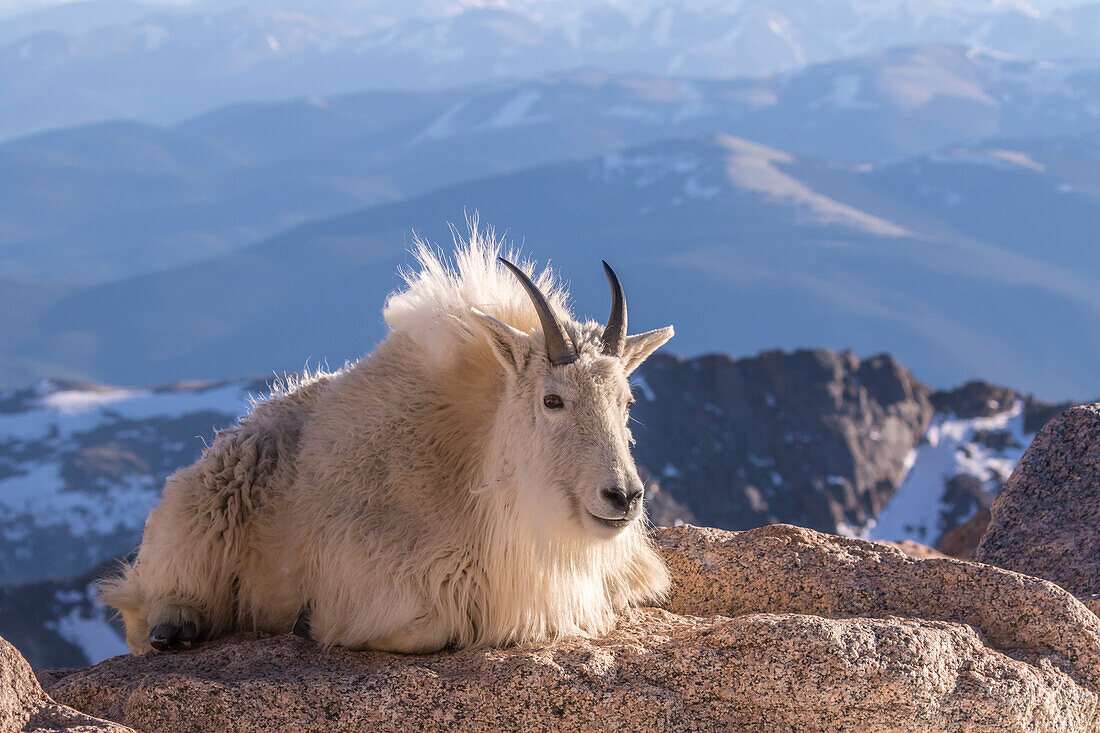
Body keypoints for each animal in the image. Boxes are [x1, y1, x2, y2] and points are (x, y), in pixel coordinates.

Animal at [103, 235, 673, 651]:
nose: (623, 497)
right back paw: (176, 626)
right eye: (552, 400)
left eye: (627, 401)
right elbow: (432, 628)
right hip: (209, 499)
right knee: (147, 603)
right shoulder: (370, 568)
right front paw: (311, 623)